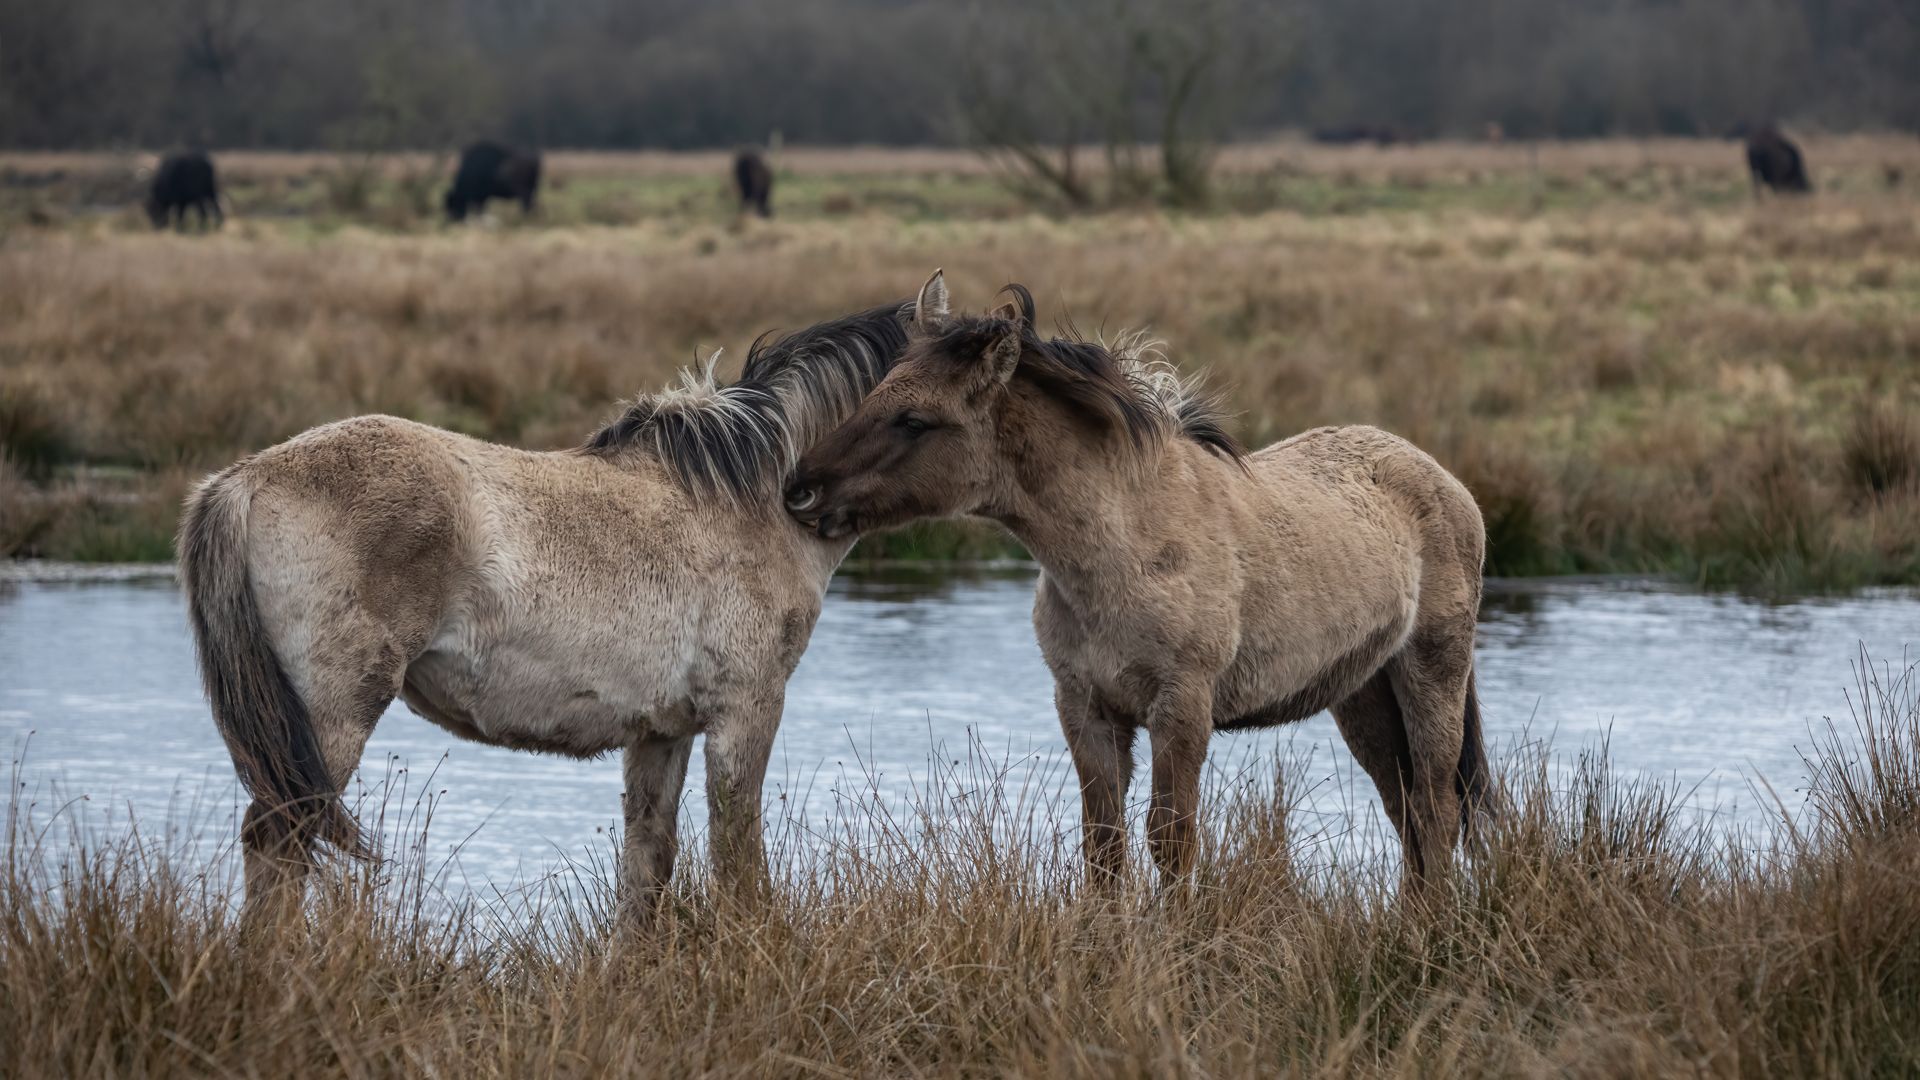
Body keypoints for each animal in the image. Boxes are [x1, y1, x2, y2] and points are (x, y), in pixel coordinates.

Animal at [787, 272, 1489, 887]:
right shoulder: (1086, 709)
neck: (1124, 548)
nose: (799, 491)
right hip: (1364, 693)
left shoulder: (1181, 707)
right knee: (1405, 809)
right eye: (872, 397)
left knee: (1435, 806)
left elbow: (1170, 838)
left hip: (1431, 672)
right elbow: (1104, 843)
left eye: (914, 420)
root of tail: (1445, 480)